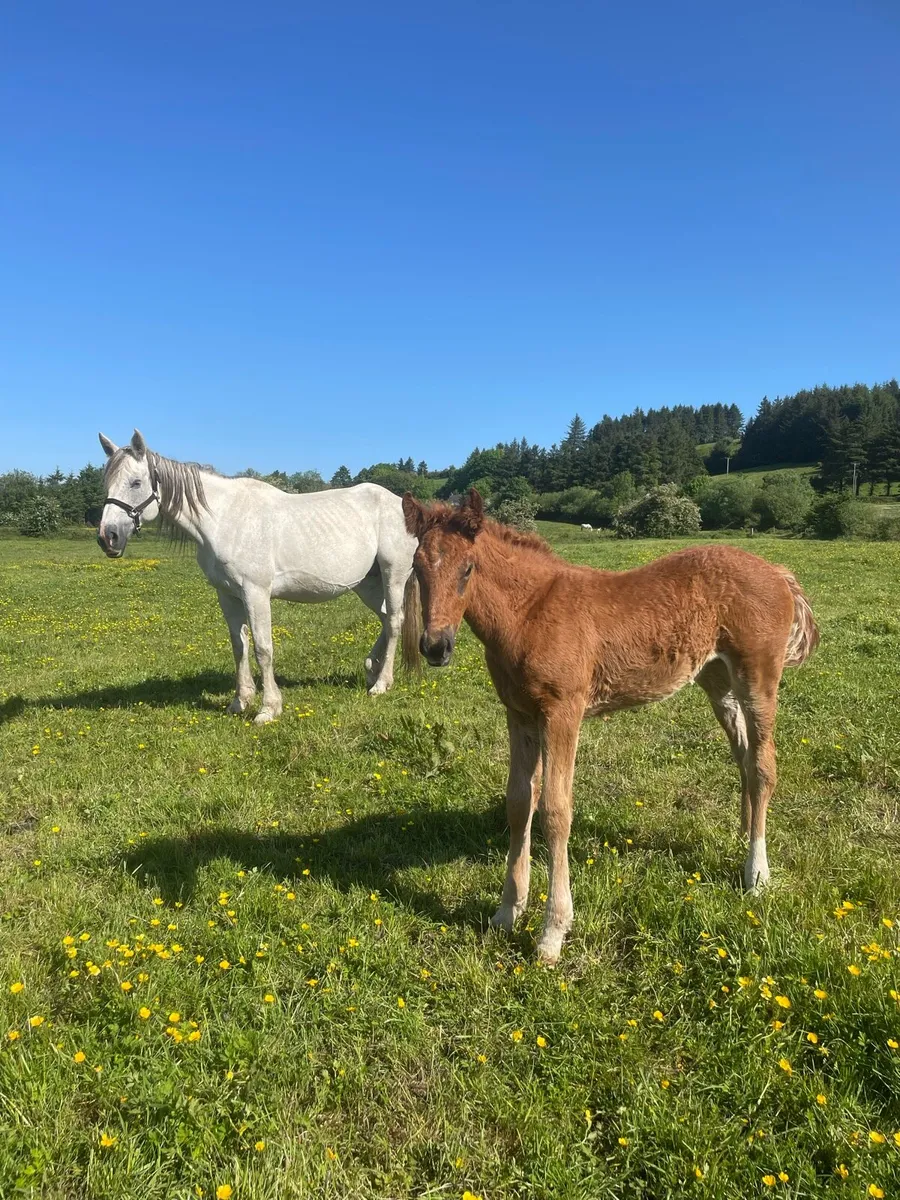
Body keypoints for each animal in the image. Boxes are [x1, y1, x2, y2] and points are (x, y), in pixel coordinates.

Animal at [97, 430, 419, 723]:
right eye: (107, 483)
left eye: (136, 483)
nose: (107, 537)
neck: (224, 519)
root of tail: (403, 505)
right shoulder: (227, 595)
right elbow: (239, 647)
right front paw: (240, 702)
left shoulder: (255, 592)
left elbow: (263, 648)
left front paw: (268, 708)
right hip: (367, 583)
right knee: (386, 618)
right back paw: (371, 669)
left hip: (393, 573)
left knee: (394, 621)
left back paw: (381, 684)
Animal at [401, 488, 819, 964]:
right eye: (417, 567)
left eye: (468, 568)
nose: (435, 647)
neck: (530, 612)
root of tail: (778, 573)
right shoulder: (519, 714)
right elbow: (519, 802)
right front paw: (507, 913)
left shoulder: (563, 712)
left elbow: (555, 810)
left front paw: (552, 933)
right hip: (718, 682)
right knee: (746, 761)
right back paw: (745, 840)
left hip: (758, 678)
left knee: (764, 766)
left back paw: (757, 874)